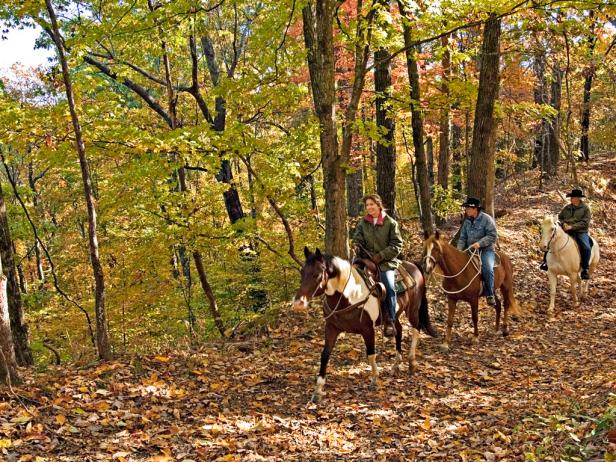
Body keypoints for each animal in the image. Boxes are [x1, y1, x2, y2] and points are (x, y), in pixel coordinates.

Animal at [294, 247, 438, 402]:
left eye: (317, 274)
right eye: (302, 271)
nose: (298, 303)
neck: (351, 294)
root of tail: (413, 265)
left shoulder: (368, 329)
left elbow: (371, 354)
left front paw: (374, 381)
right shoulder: (331, 328)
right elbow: (325, 355)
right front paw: (318, 390)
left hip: (412, 309)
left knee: (416, 329)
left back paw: (411, 362)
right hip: (395, 314)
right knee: (398, 330)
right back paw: (396, 365)